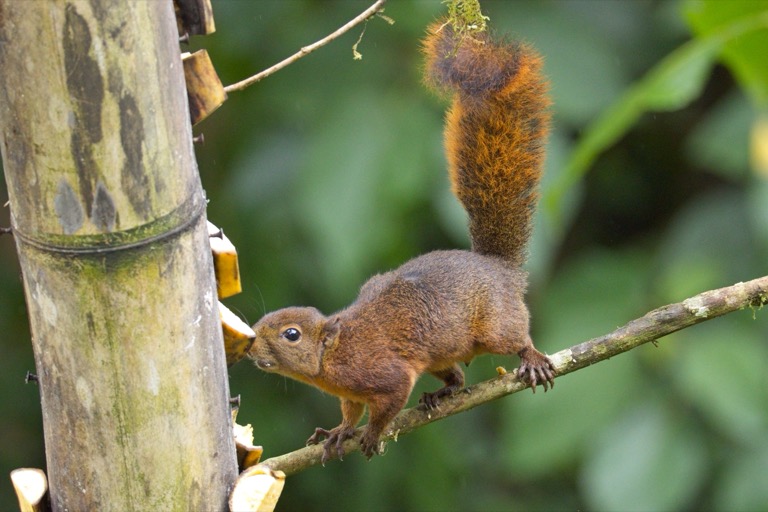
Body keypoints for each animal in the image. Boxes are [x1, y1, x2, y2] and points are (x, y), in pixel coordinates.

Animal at [247, 19, 555, 464]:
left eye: (291, 334)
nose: (250, 346)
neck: (334, 353)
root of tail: (500, 269)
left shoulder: (386, 375)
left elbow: (387, 406)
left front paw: (372, 435)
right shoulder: (350, 392)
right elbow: (350, 411)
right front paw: (339, 431)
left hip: (495, 324)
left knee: (516, 337)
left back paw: (531, 358)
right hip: (441, 352)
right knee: (457, 375)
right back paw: (439, 395)